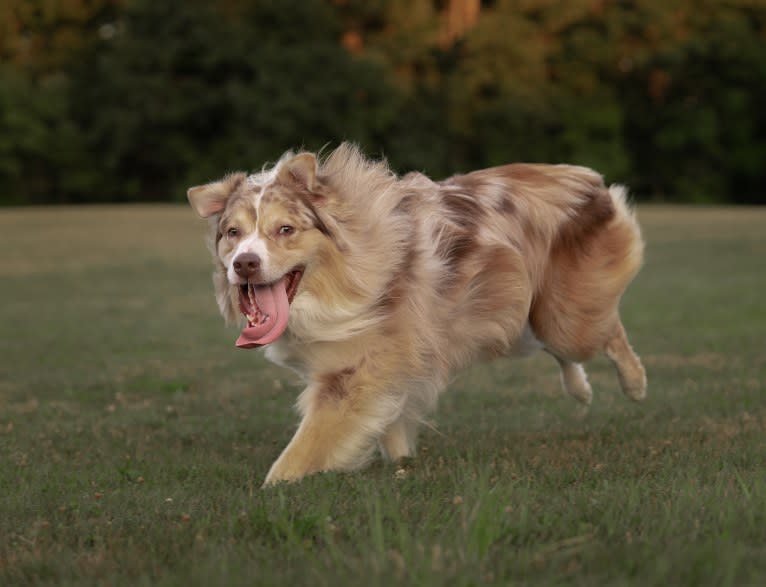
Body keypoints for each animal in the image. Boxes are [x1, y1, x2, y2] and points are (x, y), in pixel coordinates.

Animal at [188, 144, 648, 486]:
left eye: (285, 230)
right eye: (233, 233)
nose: (245, 264)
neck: (347, 269)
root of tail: (587, 179)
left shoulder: (356, 375)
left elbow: (301, 450)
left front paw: (271, 488)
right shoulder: (385, 365)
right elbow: (391, 421)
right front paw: (401, 458)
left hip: (564, 318)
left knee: (607, 332)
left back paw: (634, 384)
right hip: (519, 312)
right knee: (555, 347)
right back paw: (581, 390)